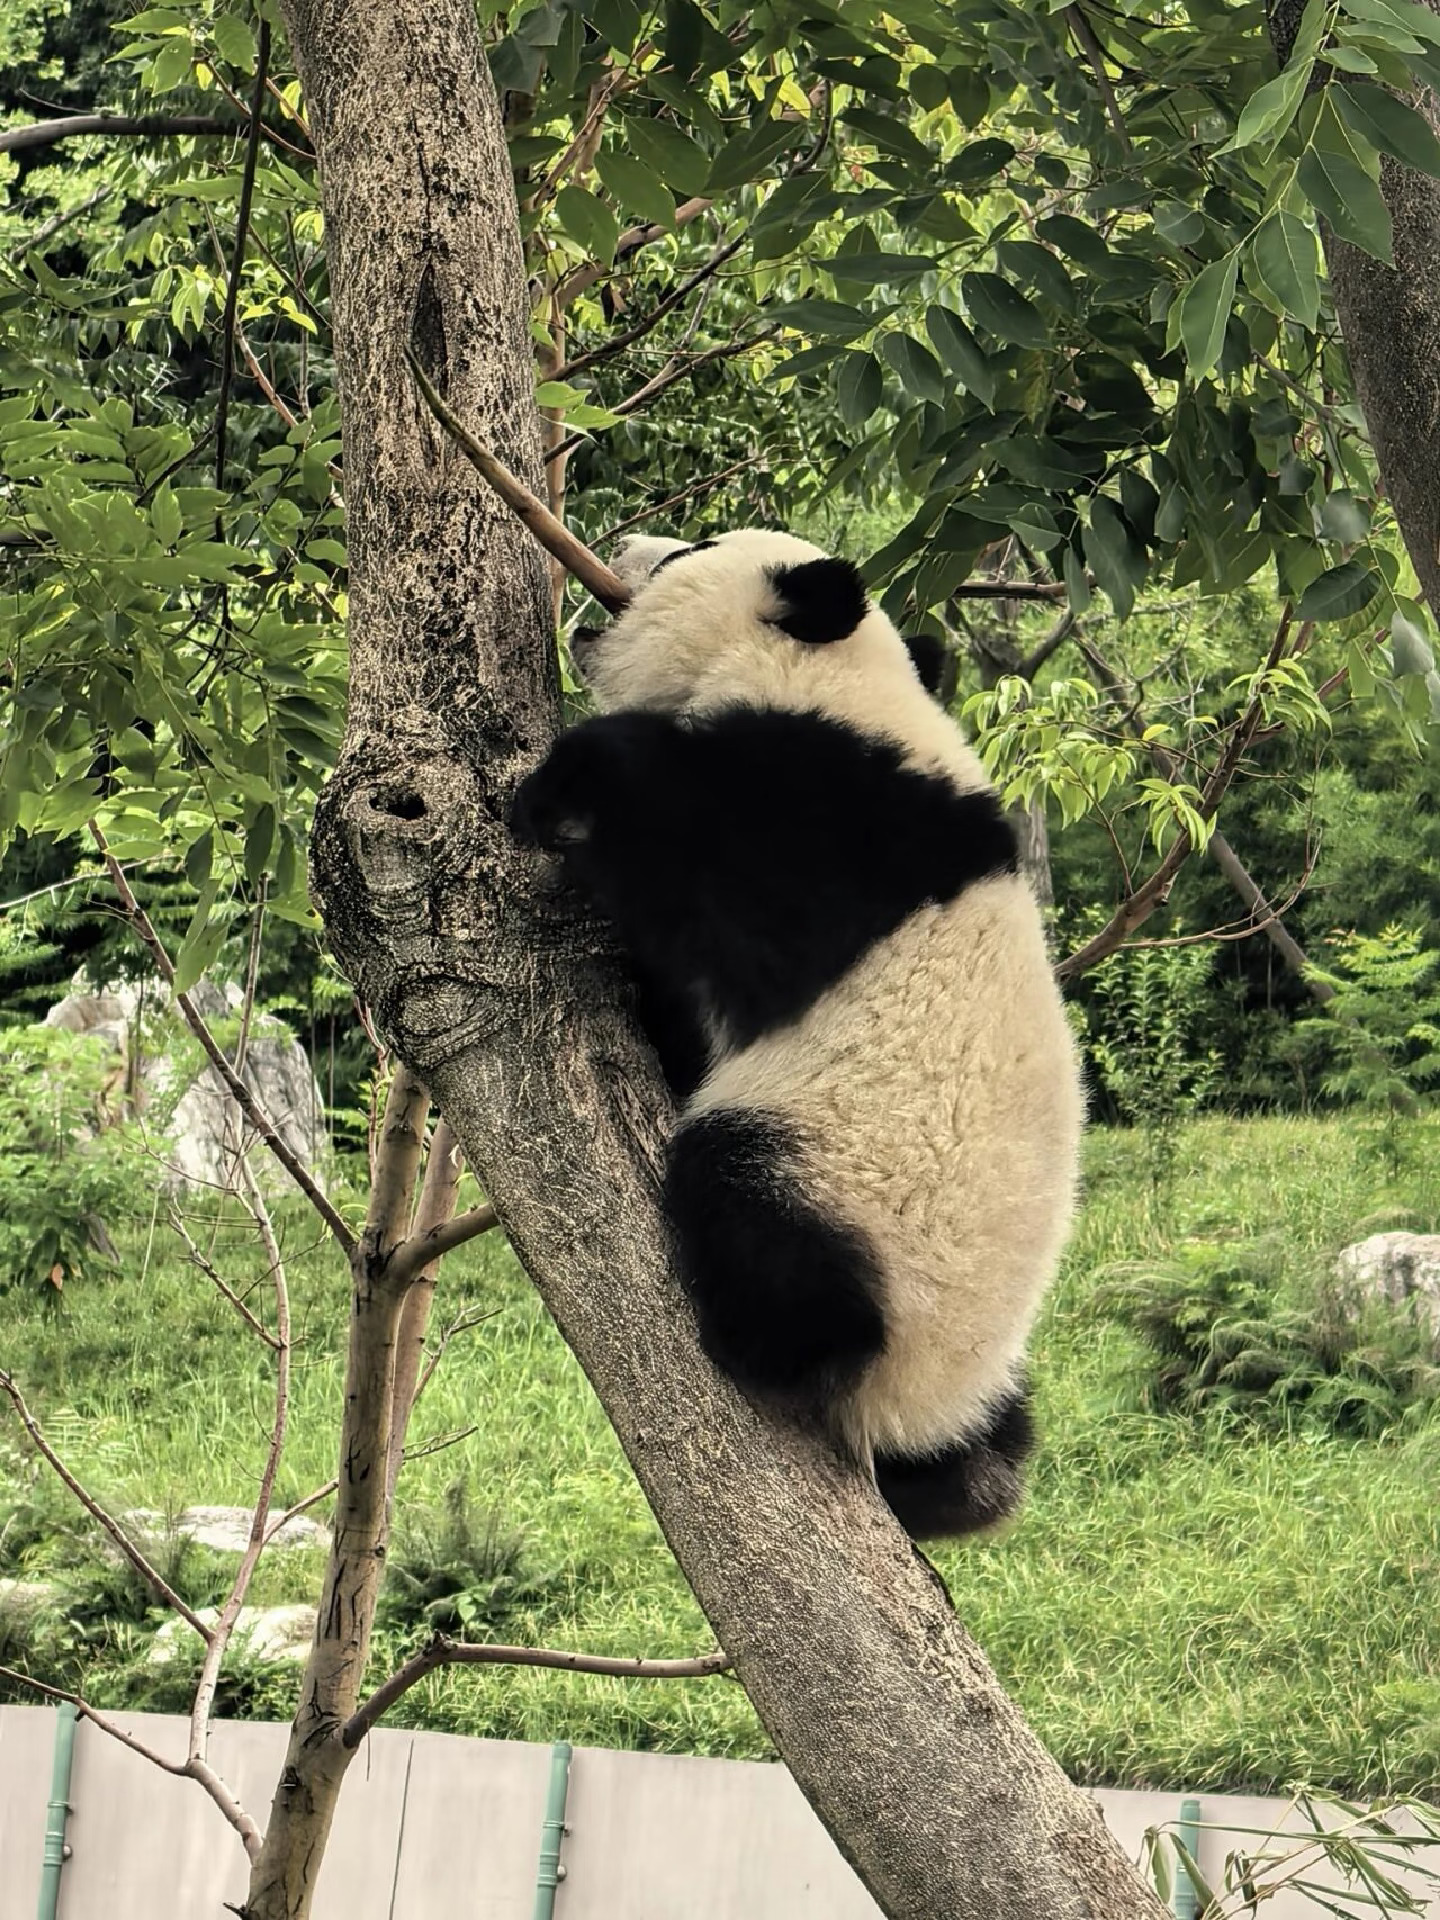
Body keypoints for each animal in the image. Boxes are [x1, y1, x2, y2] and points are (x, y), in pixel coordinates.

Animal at [511, 529, 1084, 1540]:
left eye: (688, 551)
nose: (624, 544)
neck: (836, 678)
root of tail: (914, 1407)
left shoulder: (826, 821)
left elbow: (708, 877)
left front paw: (558, 788)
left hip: (847, 1189)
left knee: (755, 1215)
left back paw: (758, 1343)